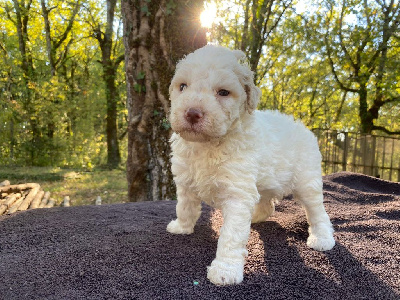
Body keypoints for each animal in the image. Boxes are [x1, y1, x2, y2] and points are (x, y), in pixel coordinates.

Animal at [166, 45, 334, 286]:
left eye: (223, 92)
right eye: (182, 86)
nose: (192, 113)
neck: (207, 146)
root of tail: (302, 126)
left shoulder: (237, 194)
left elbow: (231, 235)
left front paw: (225, 270)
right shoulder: (186, 181)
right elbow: (185, 207)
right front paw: (181, 227)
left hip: (307, 181)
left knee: (318, 211)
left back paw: (322, 238)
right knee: (267, 204)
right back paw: (255, 217)